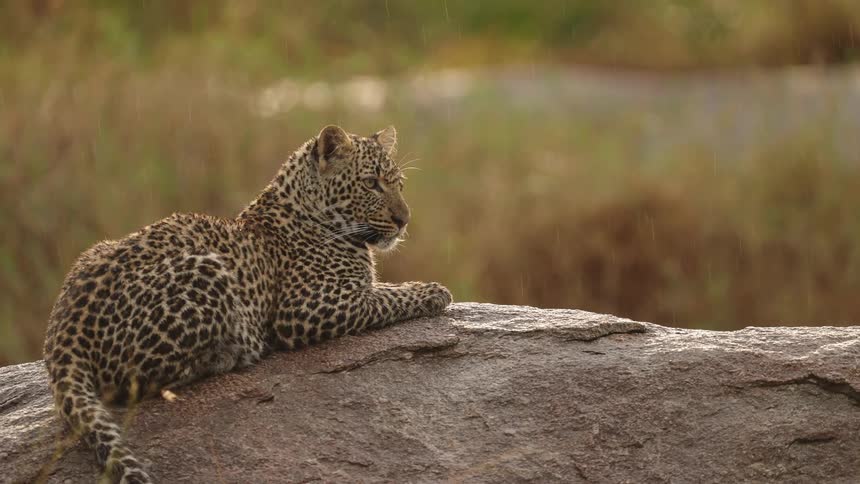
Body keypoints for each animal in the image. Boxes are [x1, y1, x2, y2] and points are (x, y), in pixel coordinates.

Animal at [42, 124, 453, 483]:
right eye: (371, 183)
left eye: (399, 184)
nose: (404, 220)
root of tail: (65, 325)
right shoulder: (306, 307)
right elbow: (386, 297)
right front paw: (434, 291)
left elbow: (384, 289)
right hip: (205, 269)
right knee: (137, 382)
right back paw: (234, 352)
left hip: (95, 250)